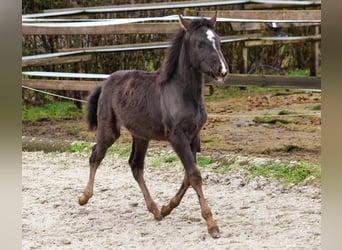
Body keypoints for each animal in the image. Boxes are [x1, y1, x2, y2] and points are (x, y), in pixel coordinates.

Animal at [79, 14, 228, 238]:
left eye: (217, 40)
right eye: (199, 43)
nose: (222, 70)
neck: (182, 93)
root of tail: (104, 82)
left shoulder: (194, 137)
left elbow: (188, 175)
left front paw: (167, 208)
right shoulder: (177, 138)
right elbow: (194, 175)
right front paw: (212, 224)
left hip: (141, 135)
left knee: (135, 166)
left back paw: (156, 210)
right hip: (109, 130)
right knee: (96, 155)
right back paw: (84, 197)